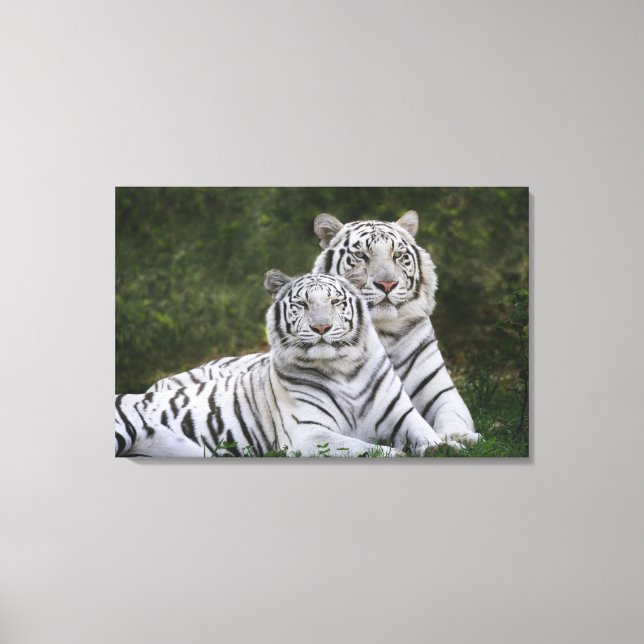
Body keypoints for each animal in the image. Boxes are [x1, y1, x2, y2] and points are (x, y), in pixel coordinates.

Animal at [117, 269, 450, 457]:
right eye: (302, 304)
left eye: (335, 302)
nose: (321, 327)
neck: (344, 370)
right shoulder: (309, 434)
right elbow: (366, 449)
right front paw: (399, 454)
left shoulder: (403, 415)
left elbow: (427, 432)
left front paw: (446, 445)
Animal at [149, 211, 480, 446]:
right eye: (361, 256)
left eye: (398, 256)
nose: (387, 284)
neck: (381, 332)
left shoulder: (442, 393)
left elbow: (453, 416)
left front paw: (460, 438)